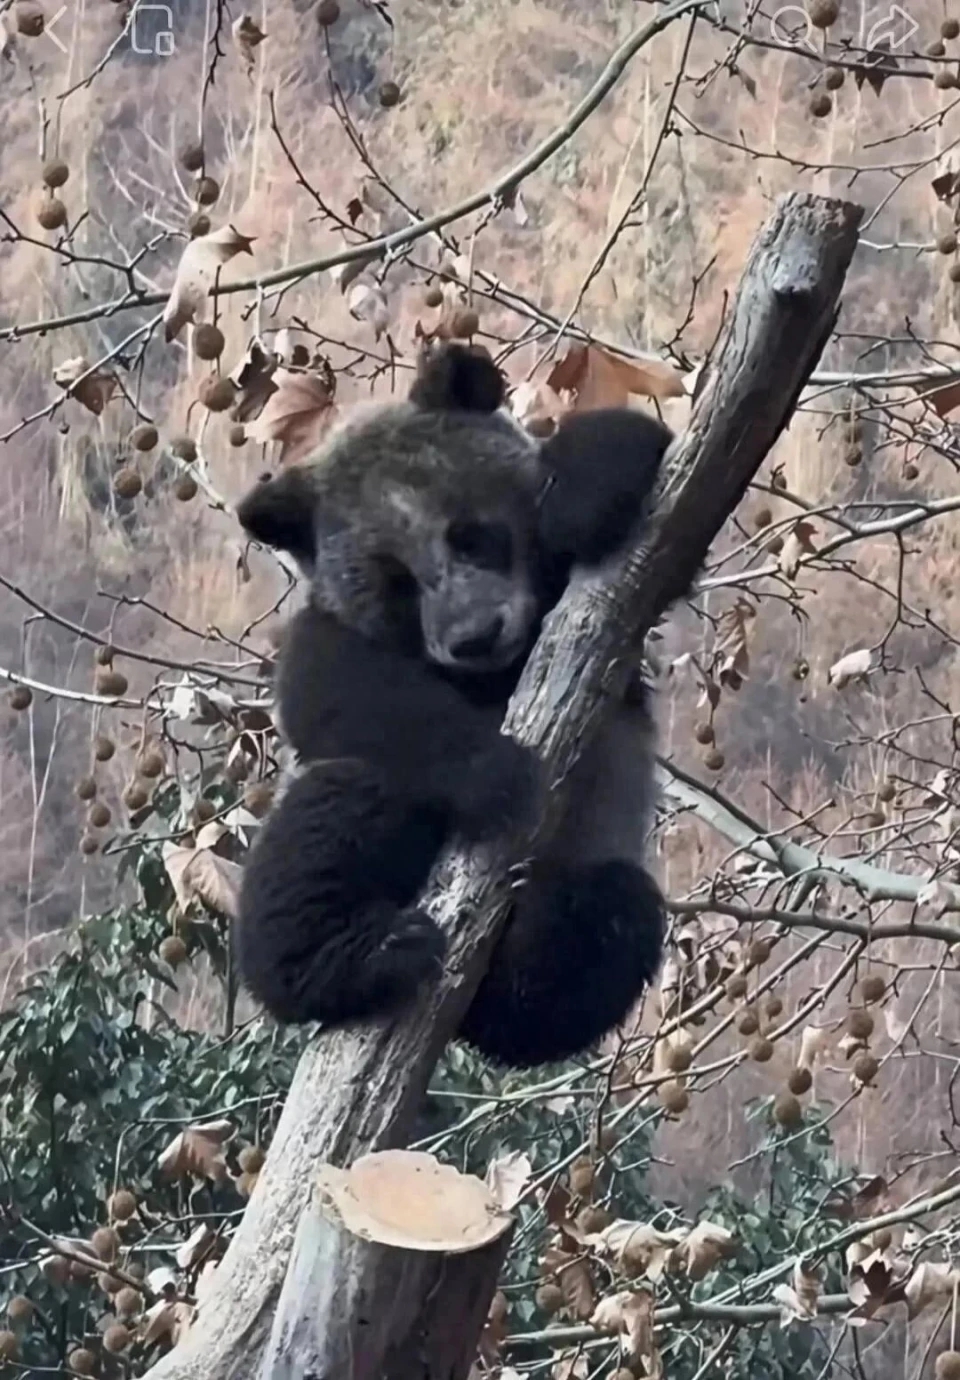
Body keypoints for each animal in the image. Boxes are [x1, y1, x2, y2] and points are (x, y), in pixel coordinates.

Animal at [234, 341, 676, 1068]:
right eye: (398, 583)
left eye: (471, 536)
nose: (474, 637)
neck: (496, 676)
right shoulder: (332, 633)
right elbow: (334, 694)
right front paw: (497, 774)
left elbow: (630, 462)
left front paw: (579, 495)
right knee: (331, 826)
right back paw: (358, 958)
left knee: (604, 930)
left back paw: (529, 956)